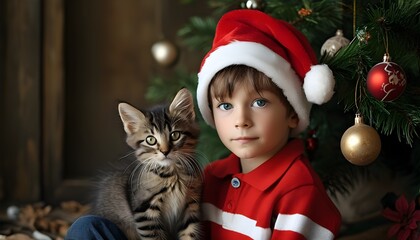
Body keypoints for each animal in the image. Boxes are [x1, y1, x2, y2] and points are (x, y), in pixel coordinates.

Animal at [92, 88, 203, 240]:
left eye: (175, 135)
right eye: (151, 140)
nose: (165, 151)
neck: (173, 176)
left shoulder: (191, 208)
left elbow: (190, 234)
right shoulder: (145, 213)